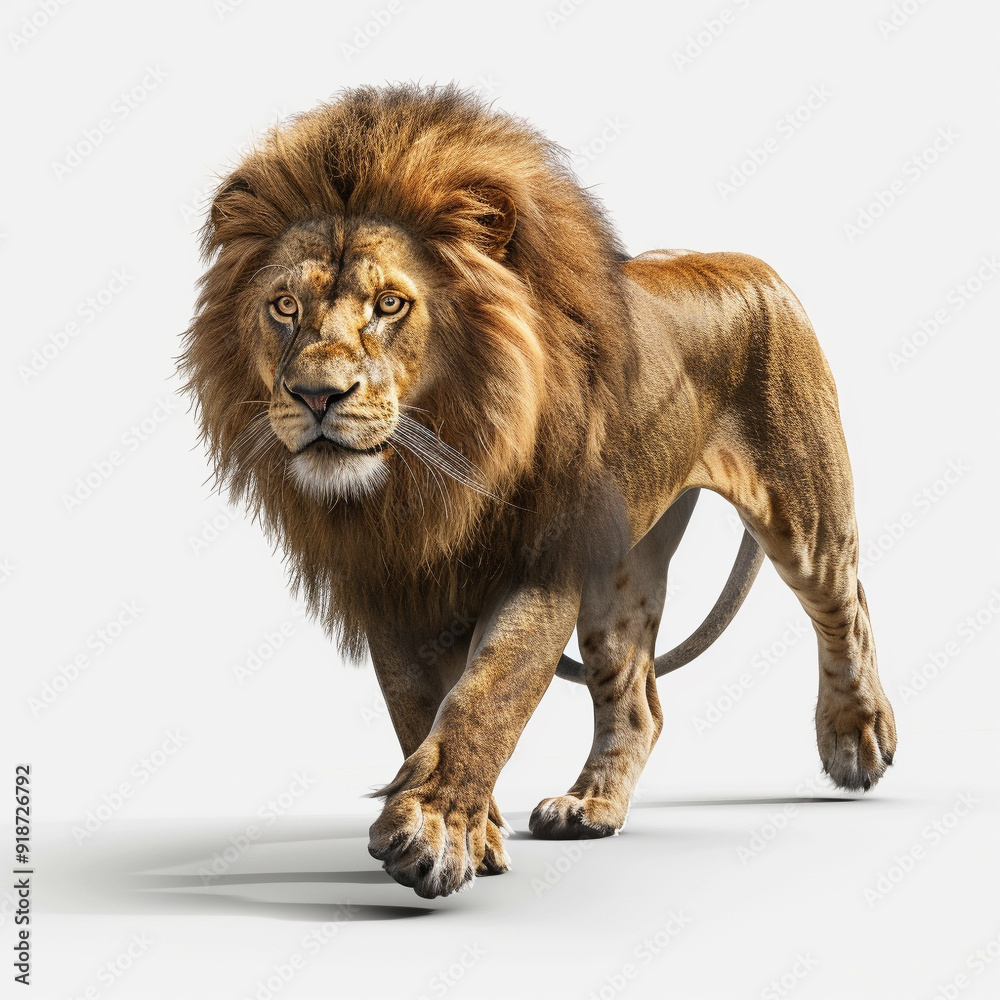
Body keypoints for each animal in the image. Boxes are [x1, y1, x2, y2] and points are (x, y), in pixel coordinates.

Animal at [181, 83, 896, 899]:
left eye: (390, 305)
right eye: (284, 307)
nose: (315, 396)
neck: (430, 472)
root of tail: (744, 260)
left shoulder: (543, 559)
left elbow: (491, 692)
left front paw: (433, 831)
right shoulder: (390, 582)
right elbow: (418, 706)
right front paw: (477, 831)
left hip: (804, 511)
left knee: (846, 606)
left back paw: (856, 740)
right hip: (621, 574)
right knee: (636, 701)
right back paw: (590, 806)